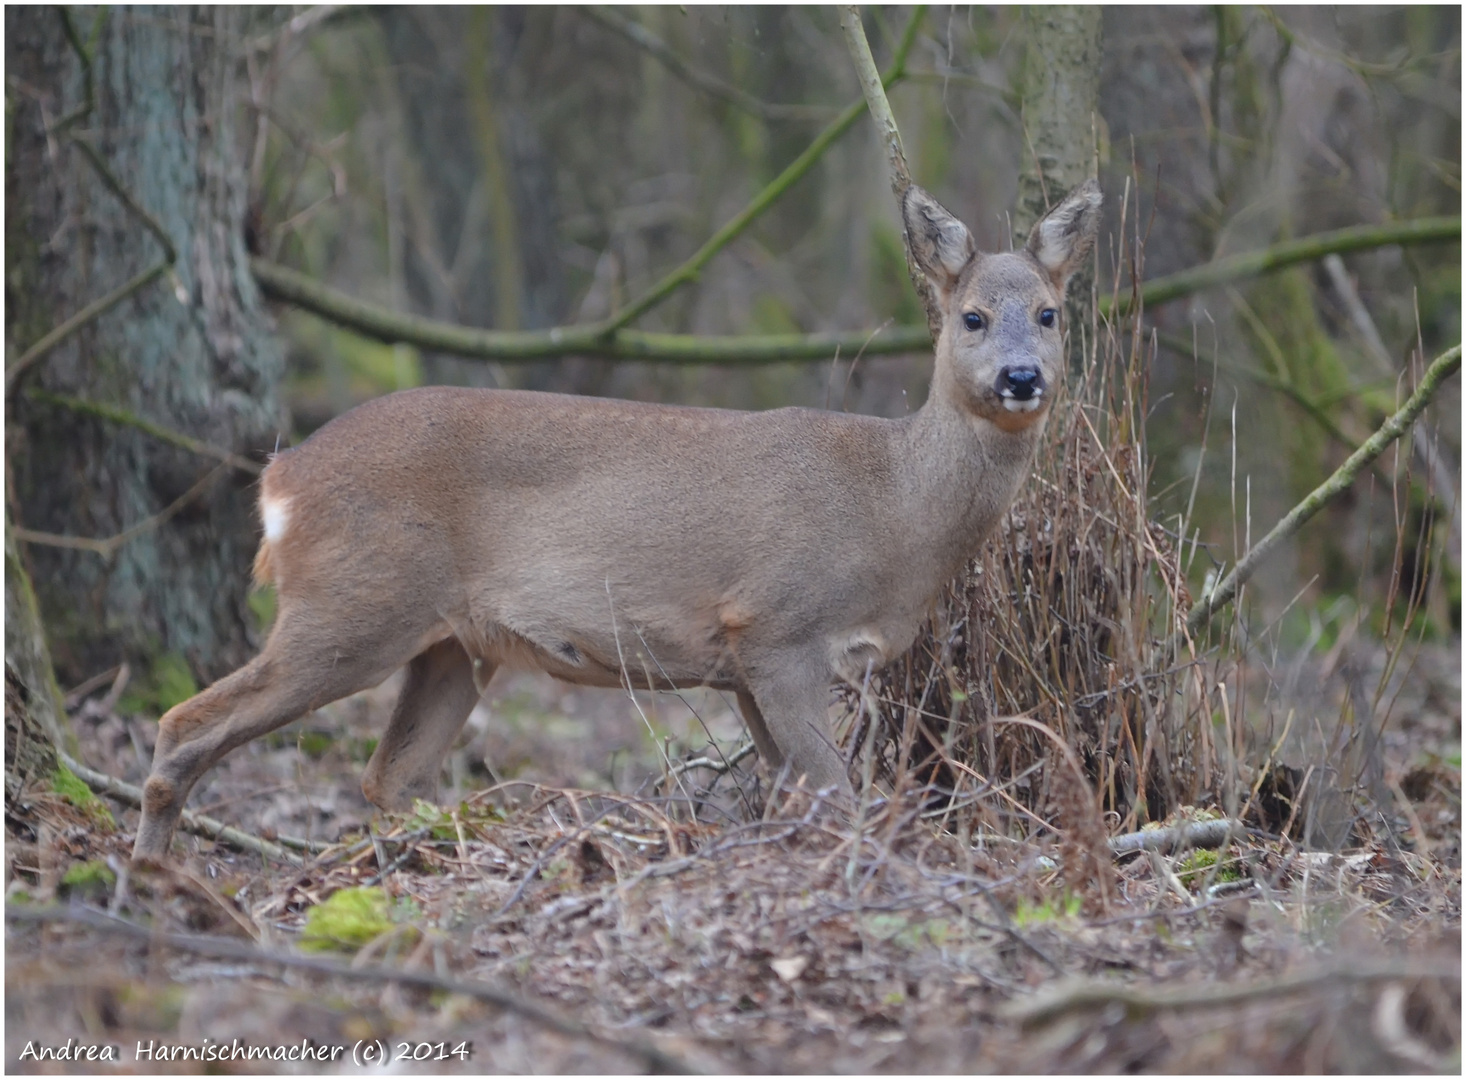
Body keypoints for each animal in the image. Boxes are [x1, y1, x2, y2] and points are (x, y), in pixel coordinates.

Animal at [134, 180, 1102, 861]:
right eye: (970, 316)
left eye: (1050, 314)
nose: (1021, 377)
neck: (893, 507)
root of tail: (281, 476)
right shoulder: (779, 626)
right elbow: (833, 796)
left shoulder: (742, 664)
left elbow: (795, 796)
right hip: (353, 603)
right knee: (186, 724)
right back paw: (153, 883)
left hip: (452, 646)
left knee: (387, 774)